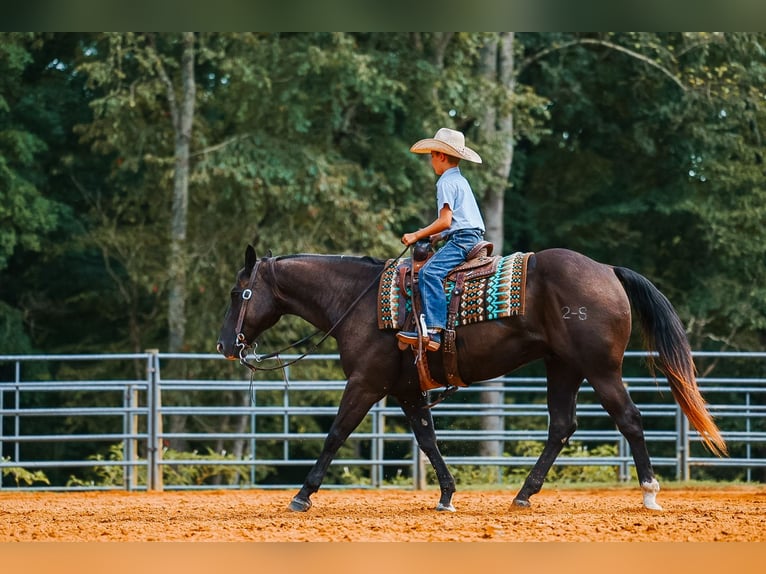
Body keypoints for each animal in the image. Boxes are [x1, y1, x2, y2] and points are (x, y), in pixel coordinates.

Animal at [217, 245, 726, 513]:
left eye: (240, 293)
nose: (225, 344)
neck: (357, 301)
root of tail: (607, 270)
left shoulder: (365, 383)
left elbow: (337, 433)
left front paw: (302, 495)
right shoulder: (407, 392)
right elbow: (428, 440)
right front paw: (446, 494)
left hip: (600, 370)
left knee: (630, 419)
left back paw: (649, 494)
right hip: (562, 367)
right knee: (562, 426)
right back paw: (523, 495)